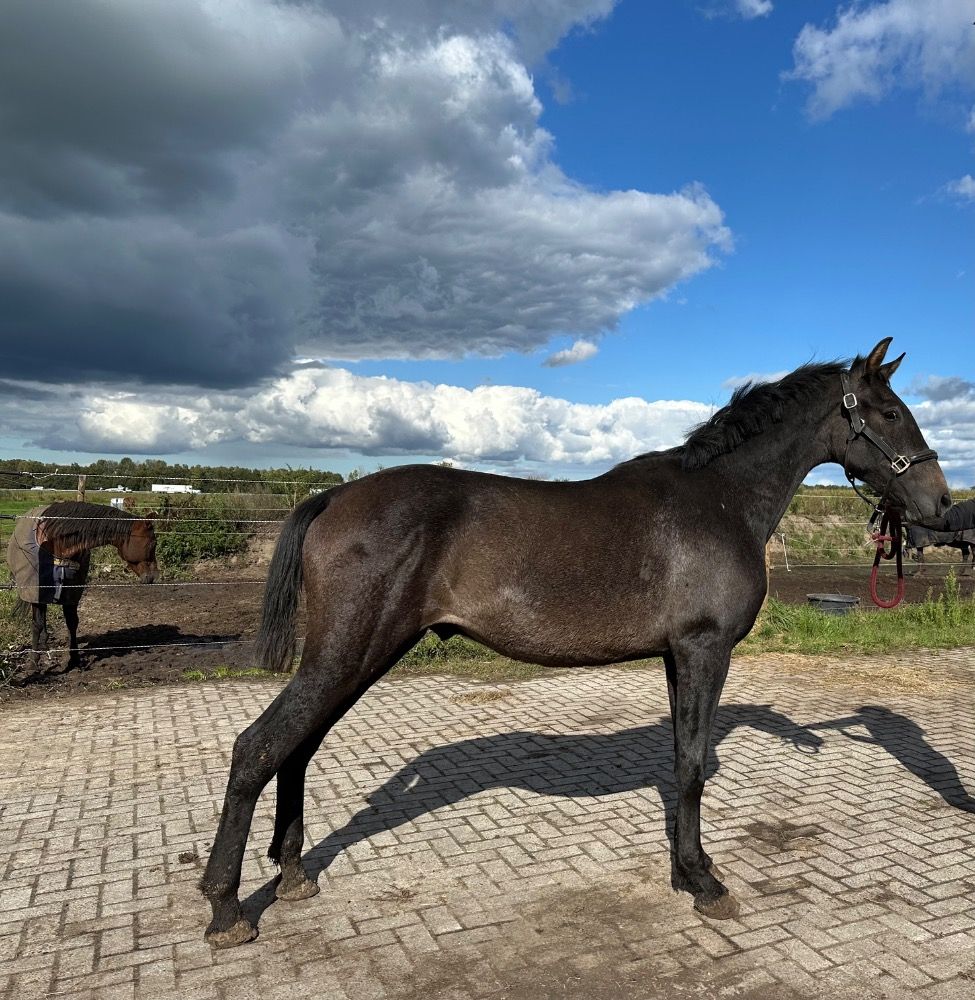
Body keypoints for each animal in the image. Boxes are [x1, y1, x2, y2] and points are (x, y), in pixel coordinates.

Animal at [6, 500, 159, 673]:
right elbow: (36, 625)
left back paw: (45, 644)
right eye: (153, 543)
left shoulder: (71, 594)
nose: (154, 576)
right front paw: (33, 662)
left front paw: (75, 659)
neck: (56, 543)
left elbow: (72, 623)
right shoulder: (35, 591)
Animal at [200, 338, 950, 948]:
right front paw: (702, 881)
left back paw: (293, 875)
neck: (720, 500)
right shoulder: (704, 651)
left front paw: (690, 867)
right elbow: (692, 766)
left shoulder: (678, 658)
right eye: (887, 411)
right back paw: (225, 909)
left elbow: (680, 760)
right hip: (348, 654)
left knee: (295, 751)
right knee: (258, 747)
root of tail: (333, 497)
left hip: (355, 658)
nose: (940, 504)